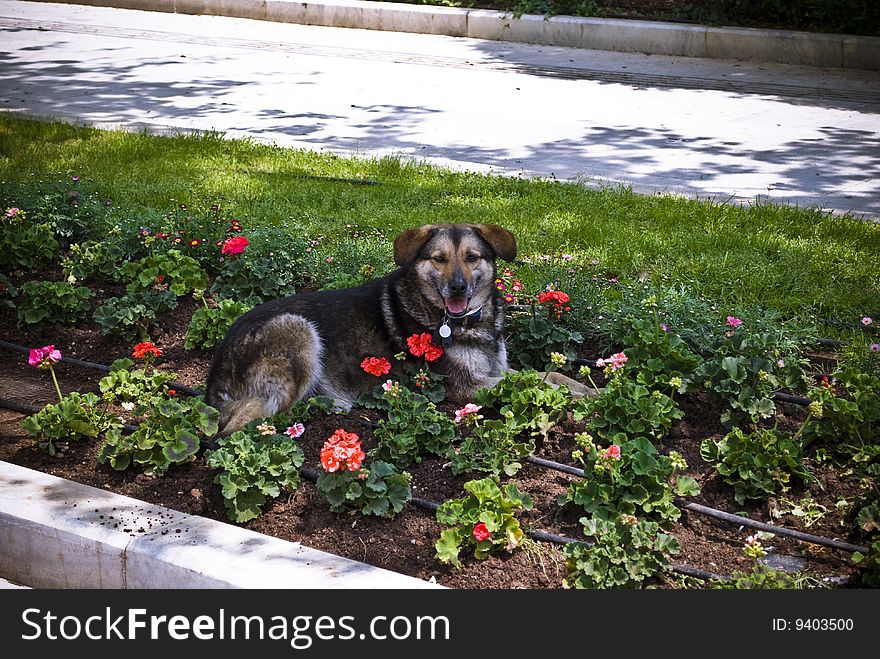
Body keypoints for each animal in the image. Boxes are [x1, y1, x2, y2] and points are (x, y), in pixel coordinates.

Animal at [206, 224, 592, 436]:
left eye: (472, 258)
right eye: (438, 259)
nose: (457, 288)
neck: (464, 320)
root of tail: (215, 374)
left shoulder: (499, 368)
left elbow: (552, 375)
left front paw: (591, 390)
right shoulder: (467, 387)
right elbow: (539, 386)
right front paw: (583, 401)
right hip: (297, 329)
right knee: (245, 424)